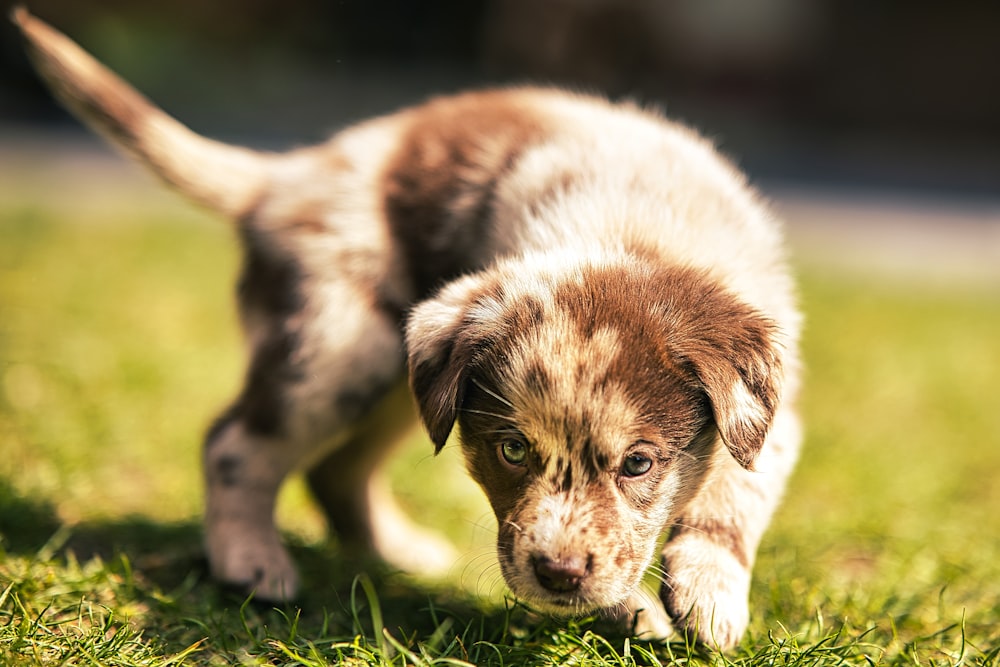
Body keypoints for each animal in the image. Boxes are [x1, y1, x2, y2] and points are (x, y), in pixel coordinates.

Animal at [15, 9, 800, 648]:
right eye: (512, 450)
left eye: (638, 464)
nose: (557, 573)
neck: (634, 233)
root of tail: (284, 177)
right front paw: (639, 610)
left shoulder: (774, 405)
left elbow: (737, 492)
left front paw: (707, 595)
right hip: (335, 347)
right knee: (235, 442)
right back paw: (252, 564)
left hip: (399, 382)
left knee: (336, 469)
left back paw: (400, 555)